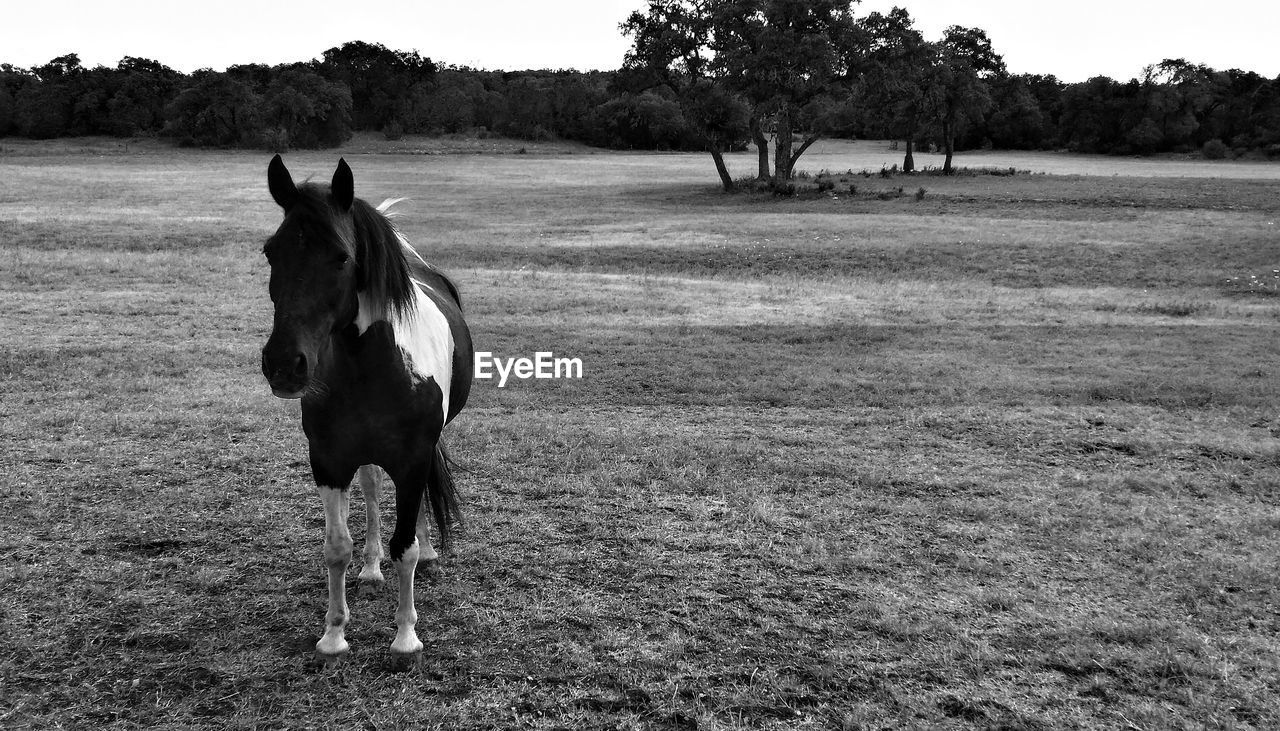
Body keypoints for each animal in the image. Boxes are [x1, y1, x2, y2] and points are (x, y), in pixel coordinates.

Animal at [257, 154, 473, 655]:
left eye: (341, 256)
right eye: (271, 252)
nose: (284, 365)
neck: (371, 367)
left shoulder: (413, 459)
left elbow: (405, 546)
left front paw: (405, 638)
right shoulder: (328, 460)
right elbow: (337, 547)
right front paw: (334, 635)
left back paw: (428, 551)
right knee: (373, 490)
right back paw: (372, 569)